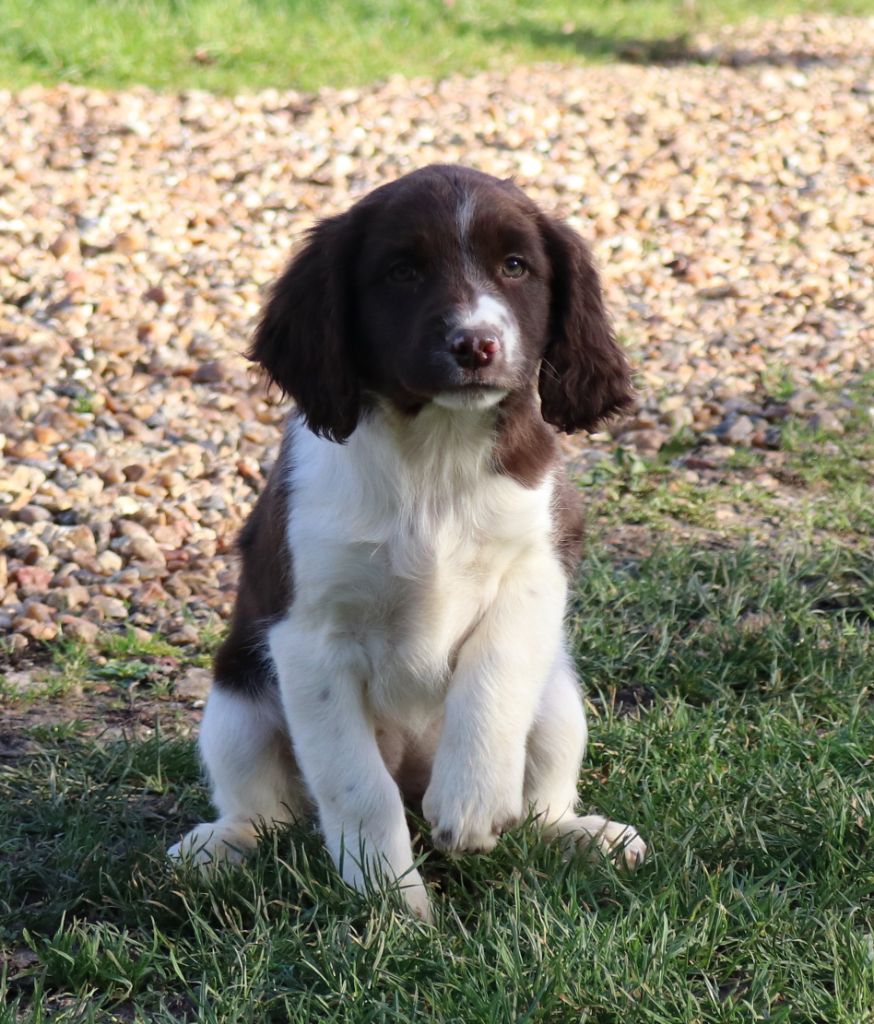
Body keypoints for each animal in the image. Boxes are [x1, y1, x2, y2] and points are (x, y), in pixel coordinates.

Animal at [168, 165, 646, 919]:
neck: (435, 454)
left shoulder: (540, 562)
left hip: (558, 702)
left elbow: (494, 667)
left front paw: (471, 800)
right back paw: (223, 845)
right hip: (238, 701)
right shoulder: (309, 636)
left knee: (539, 799)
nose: (476, 345)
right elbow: (359, 789)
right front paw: (392, 905)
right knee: (269, 809)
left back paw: (577, 833)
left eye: (516, 267)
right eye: (401, 271)